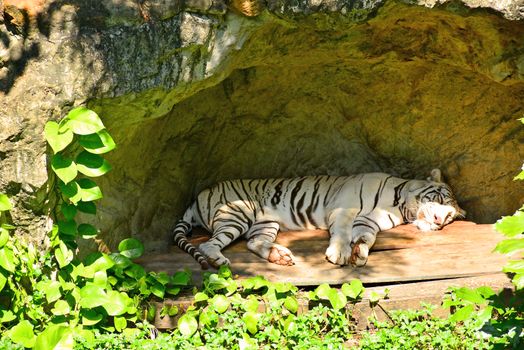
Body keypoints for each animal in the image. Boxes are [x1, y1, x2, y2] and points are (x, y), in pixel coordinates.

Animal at [172, 169, 462, 268]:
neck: (398, 205)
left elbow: (366, 238)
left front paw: (360, 253)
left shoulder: (368, 222)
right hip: (236, 214)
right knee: (207, 244)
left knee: (253, 242)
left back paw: (279, 256)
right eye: (441, 197)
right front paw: (340, 254)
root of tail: (197, 197)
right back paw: (218, 260)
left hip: (265, 222)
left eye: (450, 217)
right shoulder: (345, 208)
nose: (439, 221)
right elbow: (343, 233)